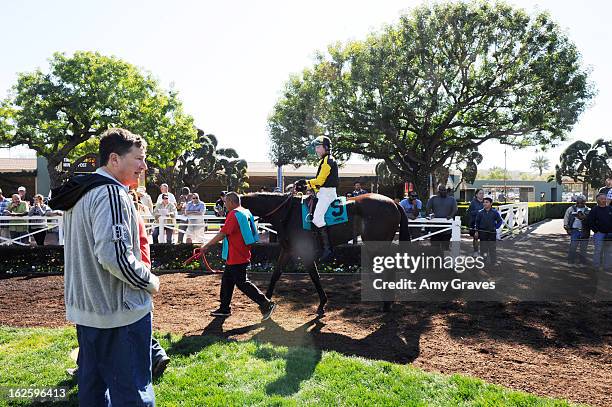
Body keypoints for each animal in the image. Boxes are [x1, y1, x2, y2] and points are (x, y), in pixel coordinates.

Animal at [241, 191, 408, 316]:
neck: (287, 212)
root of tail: (394, 202)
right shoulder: (287, 250)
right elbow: (275, 274)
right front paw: (266, 300)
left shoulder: (305, 251)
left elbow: (314, 276)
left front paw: (322, 304)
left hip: (376, 244)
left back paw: (386, 304)